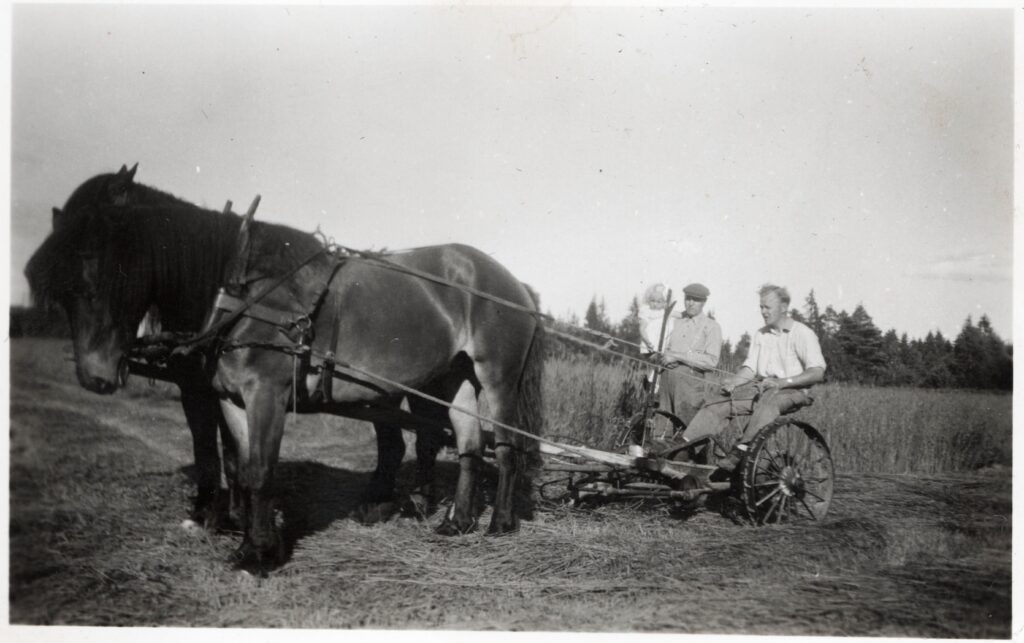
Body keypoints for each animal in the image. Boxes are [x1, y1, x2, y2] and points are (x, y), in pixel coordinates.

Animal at [25, 201, 544, 573]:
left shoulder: (265, 397)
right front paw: (247, 544)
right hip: (455, 379)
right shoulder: (230, 400)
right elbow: (242, 465)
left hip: (496, 377)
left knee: (507, 446)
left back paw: (499, 523)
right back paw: (456, 522)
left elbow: (258, 470)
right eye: (63, 288)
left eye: (99, 278)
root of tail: (513, 283)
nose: (95, 375)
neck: (243, 292)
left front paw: (258, 555)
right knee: (469, 445)